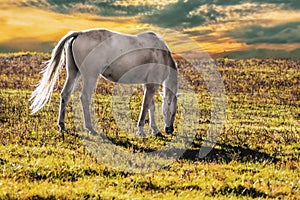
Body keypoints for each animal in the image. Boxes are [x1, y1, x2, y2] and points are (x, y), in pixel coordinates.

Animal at [31, 28, 178, 137]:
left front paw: (155, 130)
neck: (161, 54)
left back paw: (62, 126)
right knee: (84, 97)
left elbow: (150, 107)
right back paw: (90, 128)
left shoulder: (148, 85)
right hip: (91, 76)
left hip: (73, 73)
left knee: (65, 95)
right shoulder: (152, 85)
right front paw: (141, 131)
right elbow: (145, 106)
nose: (170, 129)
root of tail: (80, 33)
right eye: (174, 112)